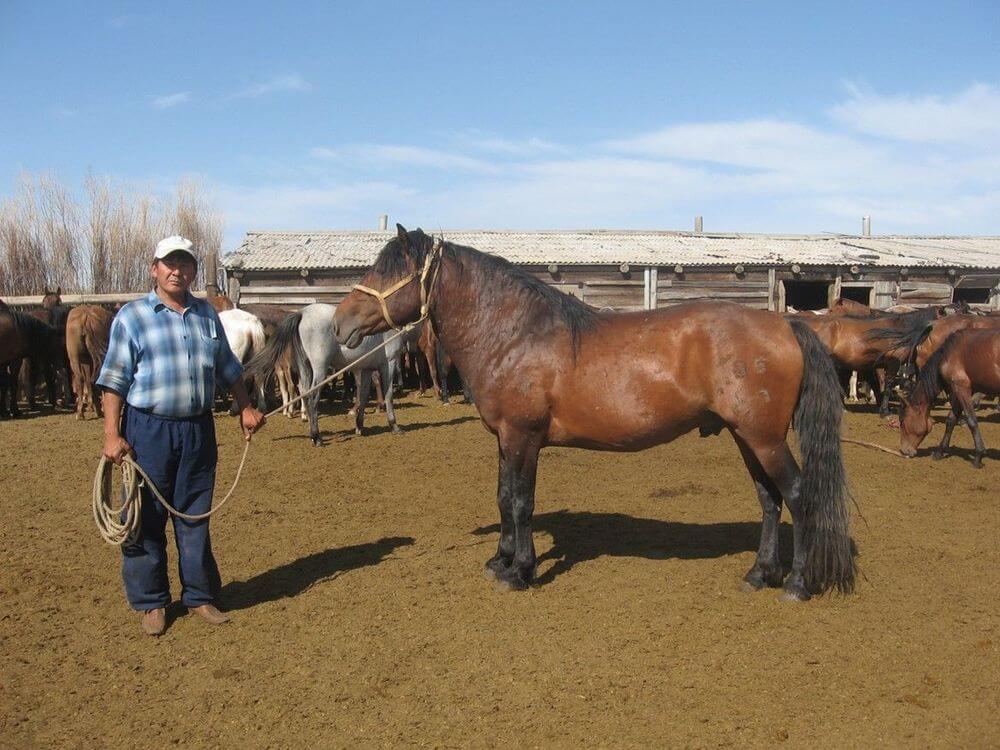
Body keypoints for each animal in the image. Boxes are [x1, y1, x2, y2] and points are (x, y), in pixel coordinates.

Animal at [248, 304, 416, 446]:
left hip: (305, 367)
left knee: (304, 393)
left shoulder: (366, 369)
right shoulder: (389, 363)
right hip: (319, 369)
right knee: (313, 396)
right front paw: (394, 426)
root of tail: (302, 313)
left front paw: (359, 426)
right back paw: (316, 437)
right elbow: (388, 394)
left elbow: (363, 396)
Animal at [332, 226, 856, 604]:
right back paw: (759, 574)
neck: (514, 334)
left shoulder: (522, 437)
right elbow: (502, 499)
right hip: (747, 436)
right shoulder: (505, 439)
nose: (339, 323)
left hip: (764, 438)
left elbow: (520, 503)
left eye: (386, 273)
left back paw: (797, 584)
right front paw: (500, 561)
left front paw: (520, 571)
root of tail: (786, 324)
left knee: (798, 495)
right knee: (769, 500)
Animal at [900, 330, 1000, 470]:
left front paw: (978, 457)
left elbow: (971, 420)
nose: (904, 450)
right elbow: (951, 420)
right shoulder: (957, 389)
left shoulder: (961, 387)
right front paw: (939, 451)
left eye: (902, 422)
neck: (948, 355)